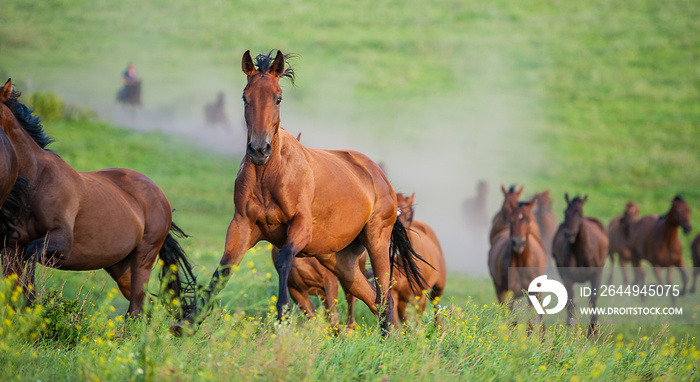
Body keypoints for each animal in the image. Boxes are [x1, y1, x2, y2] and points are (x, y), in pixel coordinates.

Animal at [0, 79, 194, 318]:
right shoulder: (12, 248)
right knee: (144, 306)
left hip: (144, 257)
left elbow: (31, 256)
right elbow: (12, 286)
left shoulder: (61, 242)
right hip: (120, 267)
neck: (37, 179)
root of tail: (161, 196)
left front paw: (31, 302)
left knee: (136, 308)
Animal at [172, 50, 426, 338]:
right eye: (245, 97)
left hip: (376, 240)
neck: (269, 176)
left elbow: (284, 260)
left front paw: (282, 316)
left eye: (278, 97)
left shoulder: (301, 227)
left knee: (385, 297)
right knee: (372, 298)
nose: (259, 150)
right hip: (341, 261)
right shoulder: (242, 226)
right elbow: (223, 270)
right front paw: (187, 323)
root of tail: (380, 176)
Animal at [394, 194, 448, 326]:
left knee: (435, 304)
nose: (397, 246)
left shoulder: (421, 296)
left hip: (438, 288)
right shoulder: (395, 293)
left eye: (408, 217)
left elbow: (418, 320)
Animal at [552, 194, 608, 334]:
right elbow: (570, 299)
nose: (570, 234)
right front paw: (571, 324)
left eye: (579, 213)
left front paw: (593, 329)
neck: (581, 252)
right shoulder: (567, 277)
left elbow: (593, 299)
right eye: (565, 212)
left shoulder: (596, 274)